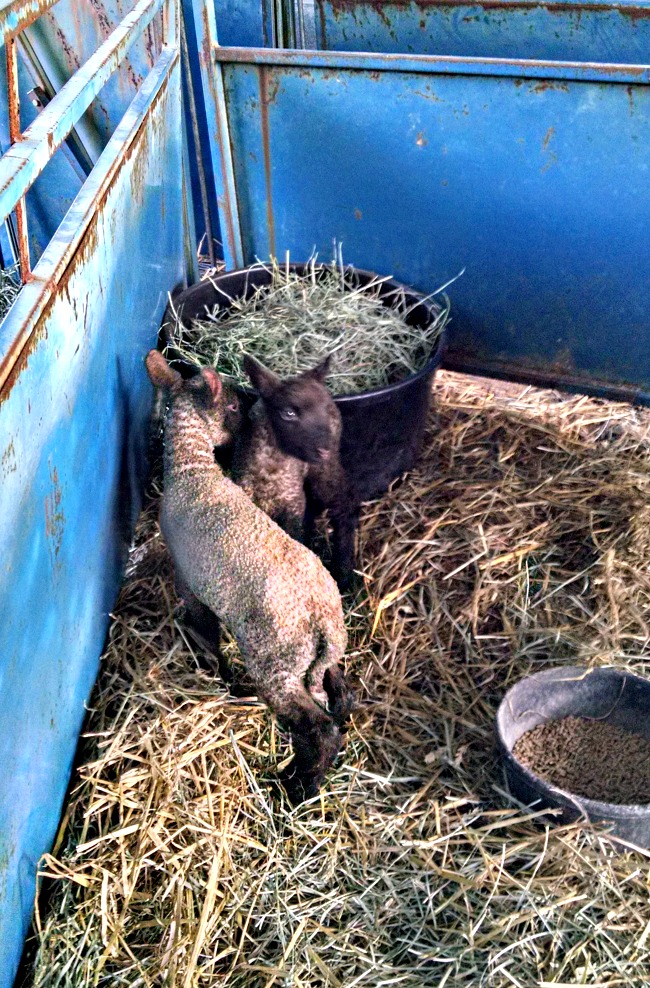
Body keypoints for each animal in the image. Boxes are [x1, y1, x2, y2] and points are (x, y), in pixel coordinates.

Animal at [233, 354, 360, 590]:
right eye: (288, 413)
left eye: (323, 410)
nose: (324, 449)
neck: (271, 468)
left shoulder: (293, 505)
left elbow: (294, 541)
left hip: (325, 470)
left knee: (345, 502)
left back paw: (343, 571)